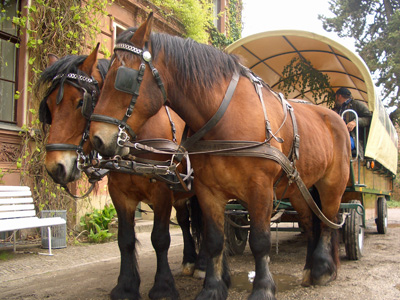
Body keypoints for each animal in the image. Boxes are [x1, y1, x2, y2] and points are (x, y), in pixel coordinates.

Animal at [37, 42, 205, 300]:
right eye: (48, 107)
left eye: (80, 102)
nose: (56, 167)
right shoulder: (120, 193)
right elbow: (124, 240)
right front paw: (126, 286)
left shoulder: (162, 191)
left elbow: (160, 238)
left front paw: (163, 287)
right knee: (185, 221)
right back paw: (190, 261)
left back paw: (204, 264)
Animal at [90, 14, 350, 300]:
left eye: (122, 78)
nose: (97, 138)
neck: (225, 117)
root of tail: (332, 115)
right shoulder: (208, 190)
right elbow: (214, 240)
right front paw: (212, 288)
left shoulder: (260, 189)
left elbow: (260, 241)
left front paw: (262, 288)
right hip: (298, 188)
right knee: (310, 222)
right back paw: (310, 269)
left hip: (332, 184)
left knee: (329, 221)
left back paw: (323, 269)